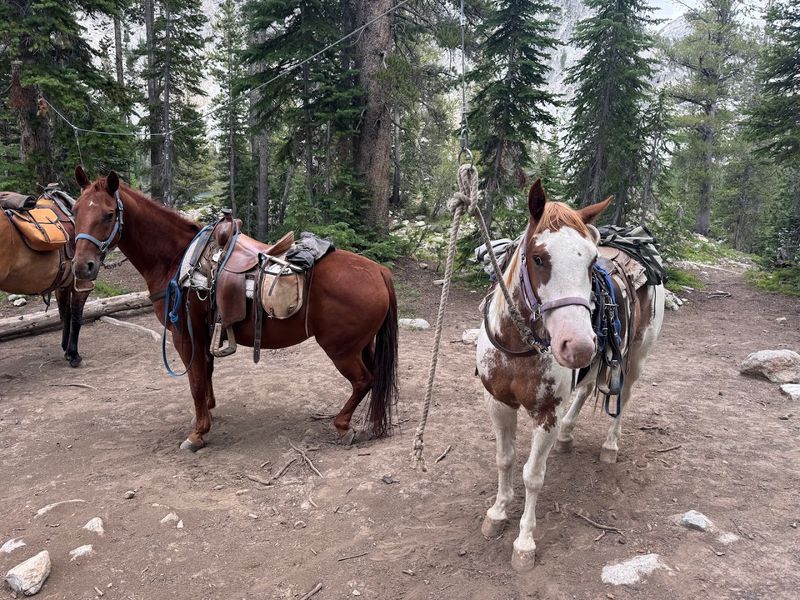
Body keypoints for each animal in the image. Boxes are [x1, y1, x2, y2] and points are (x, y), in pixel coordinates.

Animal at [0, 190, 91, 367]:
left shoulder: (63, 284)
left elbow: (65, 314)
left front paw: (66, 350)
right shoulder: (82, 284)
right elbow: (77, 317)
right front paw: (73, 355)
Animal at [70, 166, 399, 451]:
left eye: (108, 214)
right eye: (74, 212)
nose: (82, 266)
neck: (177, 259)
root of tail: (379, 271)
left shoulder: (185, 335)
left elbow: (195, 381)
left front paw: (197, 433)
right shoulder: (204, 333)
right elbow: (206, 373)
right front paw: (207, 413)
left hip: (341, 349)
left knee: (363, 380)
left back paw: (343, 426)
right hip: (361, 345)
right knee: (373, 378)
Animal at [476, 179, 664, 571]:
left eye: (591, 261)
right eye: (538, 257)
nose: (578, 346)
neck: (519, 346)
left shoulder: (545, 413)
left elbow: (533, 475)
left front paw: (525, 543)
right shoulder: (499, 403)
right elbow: (505, 459)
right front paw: (497, 513)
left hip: (634, 359)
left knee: (622, 397)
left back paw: (610, 446)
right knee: (586, 389)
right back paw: (567, 435)